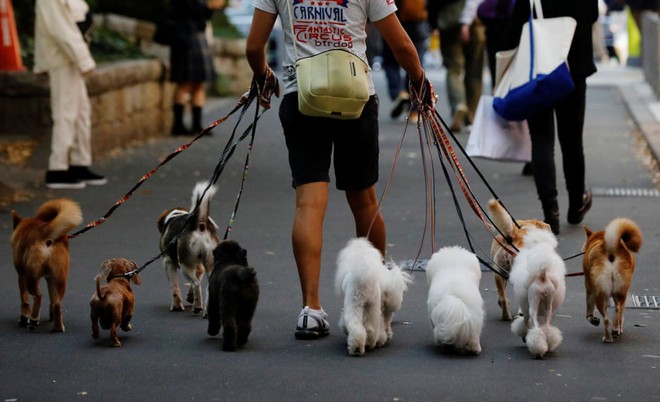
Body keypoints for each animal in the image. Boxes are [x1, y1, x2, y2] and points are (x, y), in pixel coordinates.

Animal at [10, 199, 82, 332]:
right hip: (60, 279)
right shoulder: (50, 279)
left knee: (38, 296)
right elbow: (52, 298)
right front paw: (51, 315)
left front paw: (24, 318)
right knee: (57, 303)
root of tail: (45, 233)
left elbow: (24, 299)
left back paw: (33, 320)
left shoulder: (21, 275)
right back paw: (58, 326)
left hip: (31, 279)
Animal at [510, 226, 568, 358]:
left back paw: (537, 349)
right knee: (546, 327)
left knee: (535, 325)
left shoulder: (525, 309)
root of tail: (542, 275)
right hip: (548, 302)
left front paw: (524, 335)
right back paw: (549, 344)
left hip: (534, 300)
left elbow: (525, 323)